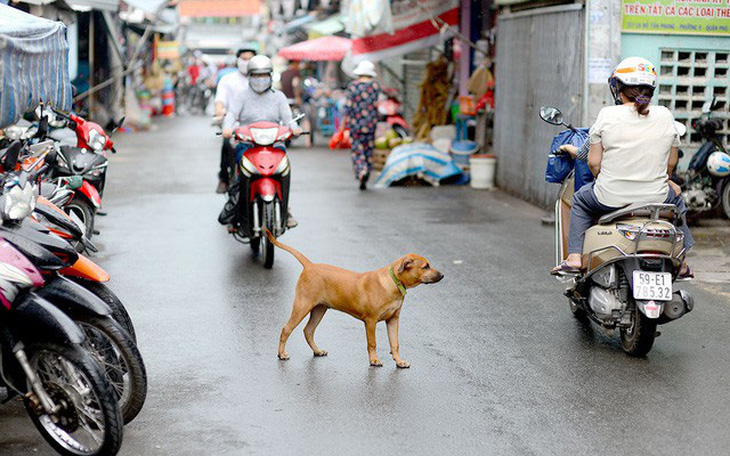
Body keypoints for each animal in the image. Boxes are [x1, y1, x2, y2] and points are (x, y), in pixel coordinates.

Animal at [264, 230, 440, 368]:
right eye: (425, 266)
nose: (442, 275)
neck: (393, 282)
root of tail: (309, 265)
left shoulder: (393, 320)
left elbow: (395, 343)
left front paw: (399, 361)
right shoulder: (371, 321)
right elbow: (372, 343)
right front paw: (374, 360)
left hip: (319, 309)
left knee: (308, 331)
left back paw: (317, 351)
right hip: (302, 306)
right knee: (286, 329)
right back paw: (281, 354)